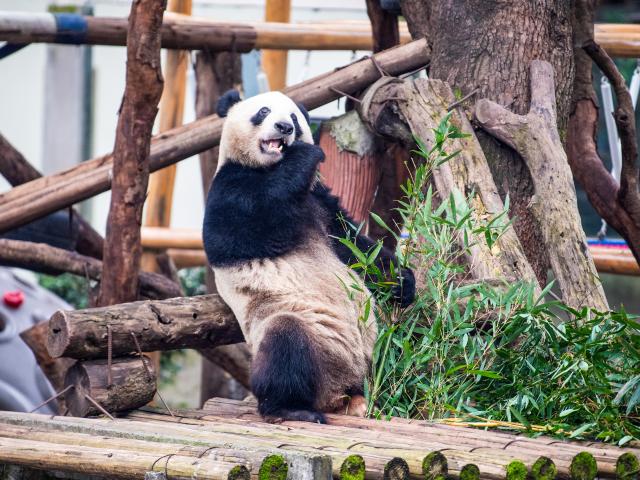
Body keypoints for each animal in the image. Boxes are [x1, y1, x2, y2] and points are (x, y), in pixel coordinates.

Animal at [203, 89, 415, 424]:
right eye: (263, 111)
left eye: (293, 116)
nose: (284, 127)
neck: (268, 167)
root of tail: (341, 393)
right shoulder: (229, 185)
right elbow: (237, 234)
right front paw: (304, 156)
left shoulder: (320, 202)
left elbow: (354, 245)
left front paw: (402, 282)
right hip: (308, 333)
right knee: (284, 345)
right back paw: (290, 408)